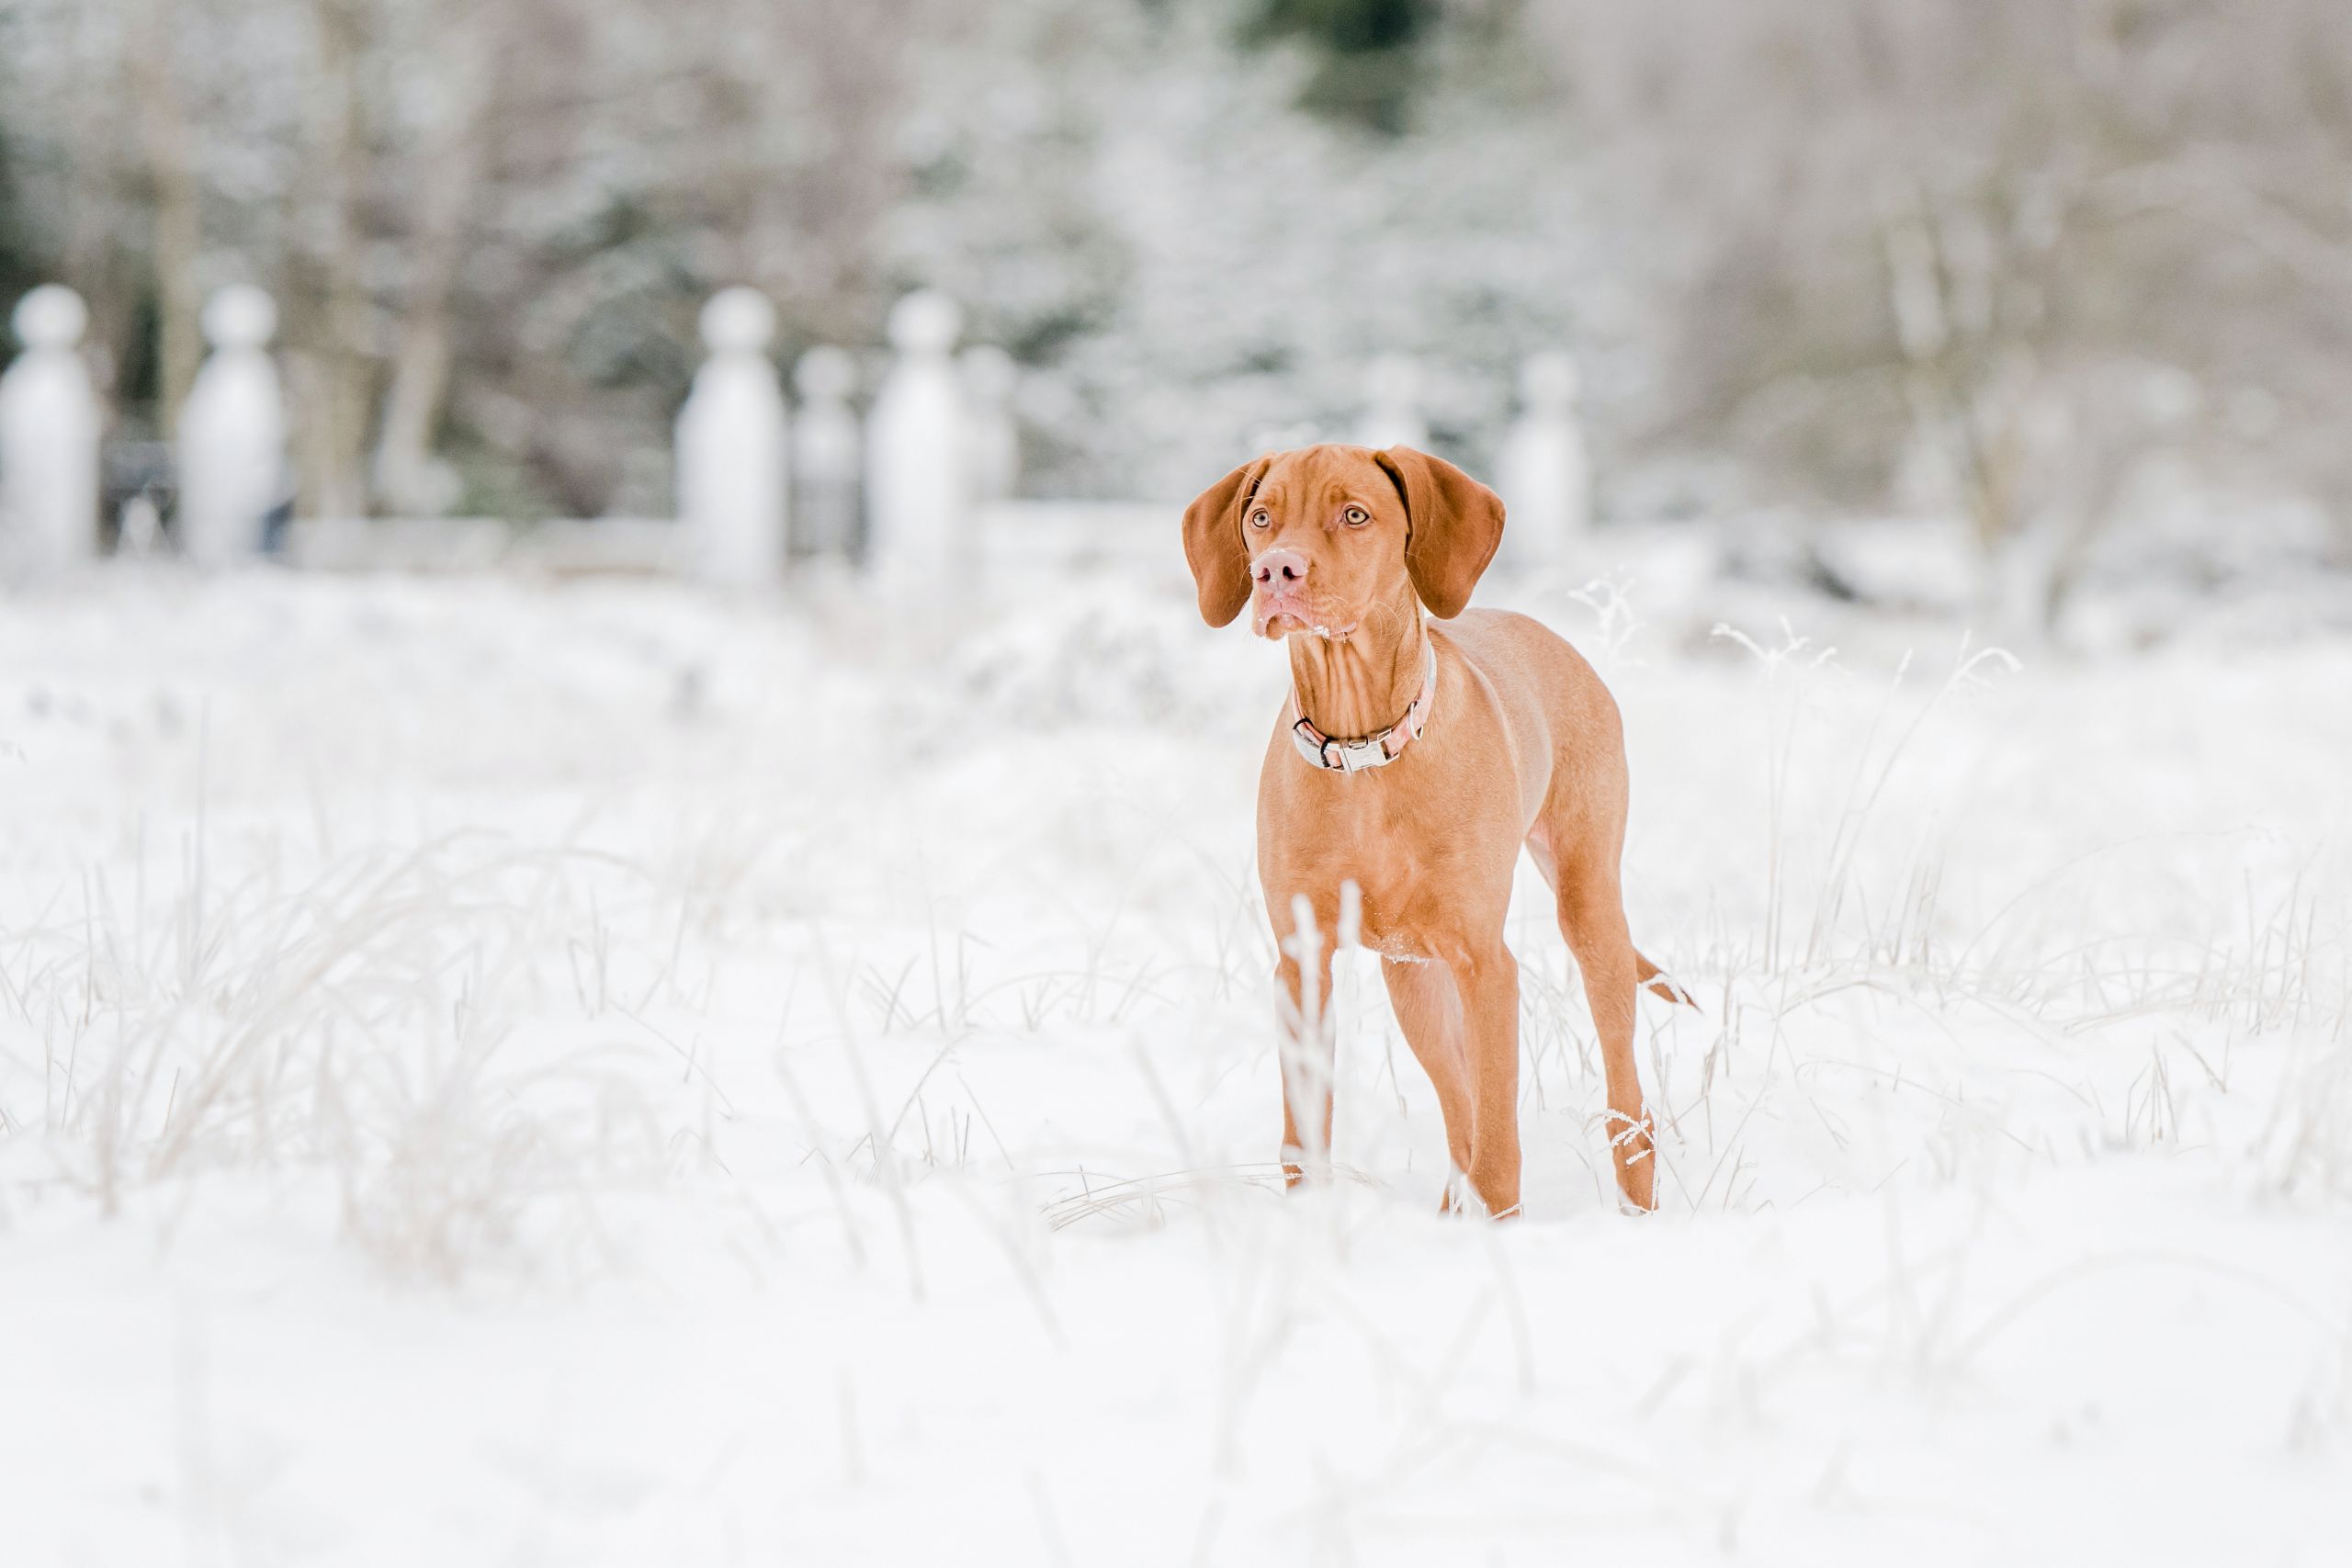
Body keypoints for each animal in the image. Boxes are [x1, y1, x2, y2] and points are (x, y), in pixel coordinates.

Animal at [1185, 442, 1683, 1213]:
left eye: (1355, 514)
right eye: (1262, 518)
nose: (1274, 572)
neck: (1363, 748)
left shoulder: (1486, 964)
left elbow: (1500, 1146)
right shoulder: (1302, 963)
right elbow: (1307, 1133)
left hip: (1590, 912)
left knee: (1619, 1098)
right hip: (1412, 976)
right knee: (1458, 1111)